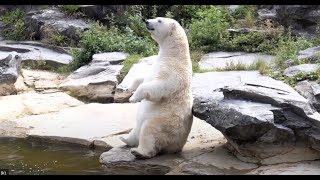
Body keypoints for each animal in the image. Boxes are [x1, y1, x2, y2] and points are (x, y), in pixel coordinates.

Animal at [119, 17, 192, 159]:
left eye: (159, 20)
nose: (147, 21)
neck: (173, 55)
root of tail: (177, 147)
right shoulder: (156, 65)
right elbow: (143, 78)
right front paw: (128, 89)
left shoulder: (173, 71)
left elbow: (159, 86)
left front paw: (133, 98)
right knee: (136, 129)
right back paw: (124, 138)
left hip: (163, 122)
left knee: (149, 132)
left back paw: (139, 152)